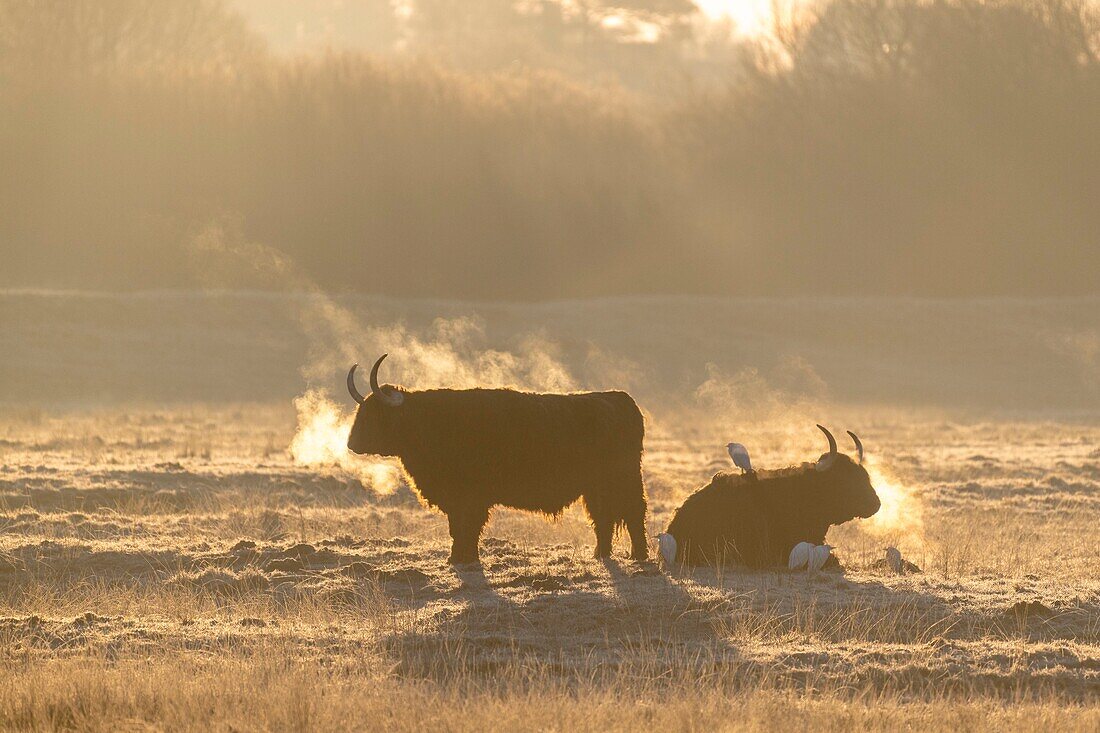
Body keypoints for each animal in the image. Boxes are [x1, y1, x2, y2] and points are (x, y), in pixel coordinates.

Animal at [347, 354, 646, 563]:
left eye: (374, 415)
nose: (351, 444)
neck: (431, 421)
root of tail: (621, 399)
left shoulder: (471, 498)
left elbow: (467, 527)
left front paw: (462, 559)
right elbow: (457, 528)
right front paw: (457, 558)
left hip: (625, 480)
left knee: (633, 513)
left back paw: (638, 555)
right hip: (596, 488)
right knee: (603, 517)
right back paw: (600, 554)